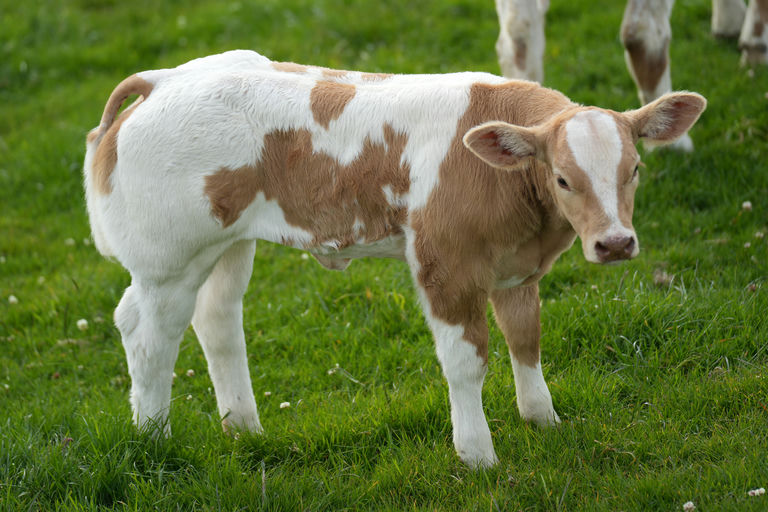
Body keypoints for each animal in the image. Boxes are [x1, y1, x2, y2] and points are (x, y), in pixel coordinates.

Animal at [83, 50, 706, 467]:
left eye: (634, 171)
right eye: (562, 179)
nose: (615, 243)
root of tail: (163, 78)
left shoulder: (515, 268)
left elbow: (525, 339)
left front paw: (543, 420)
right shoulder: (445, 265)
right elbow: (466, 361)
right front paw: (478, 455)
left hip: (228, 244)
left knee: (216, 318)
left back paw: (244, 428)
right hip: (168, 260)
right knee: (146, 332)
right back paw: (153, 438)